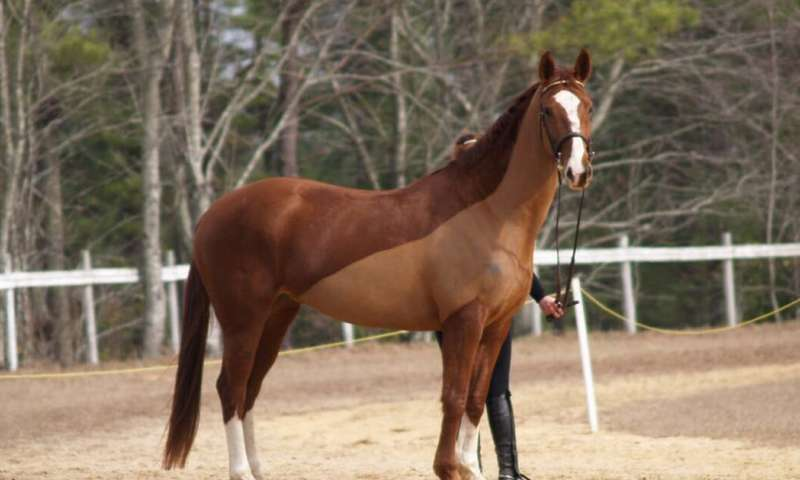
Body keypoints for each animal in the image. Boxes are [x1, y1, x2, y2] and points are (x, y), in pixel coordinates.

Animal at [162, 49, 594, 480]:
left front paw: (471, 468)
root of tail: (212, 213)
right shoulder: (464, 321)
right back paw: (240, 470)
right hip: (243, 319)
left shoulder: (497, 325)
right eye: (548, 110)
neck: (488, 213)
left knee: (250, 389)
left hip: (276, 315)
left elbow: (476, 398)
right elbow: (454, 396)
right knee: (230, 388)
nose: (579, 171)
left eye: (586, 106)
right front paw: (448, 467)